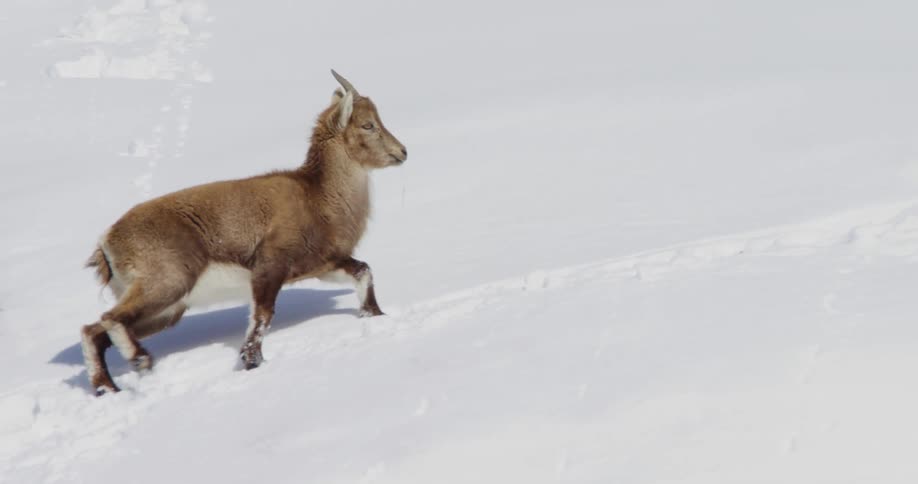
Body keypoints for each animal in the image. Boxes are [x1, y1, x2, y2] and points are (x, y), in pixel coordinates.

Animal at [80, 70, 407, 395]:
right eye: (368, 124)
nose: (402, 152)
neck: (318, 198)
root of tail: (107, 243)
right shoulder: (269, 265)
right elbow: (262, 316)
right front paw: (251, 361)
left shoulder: (323, 264)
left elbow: (363, 271)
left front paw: (375, 315)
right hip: (165, 284)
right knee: (108, 320)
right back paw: (140, 359)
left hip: (166, 310)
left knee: (93, 332)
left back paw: (107, 387)